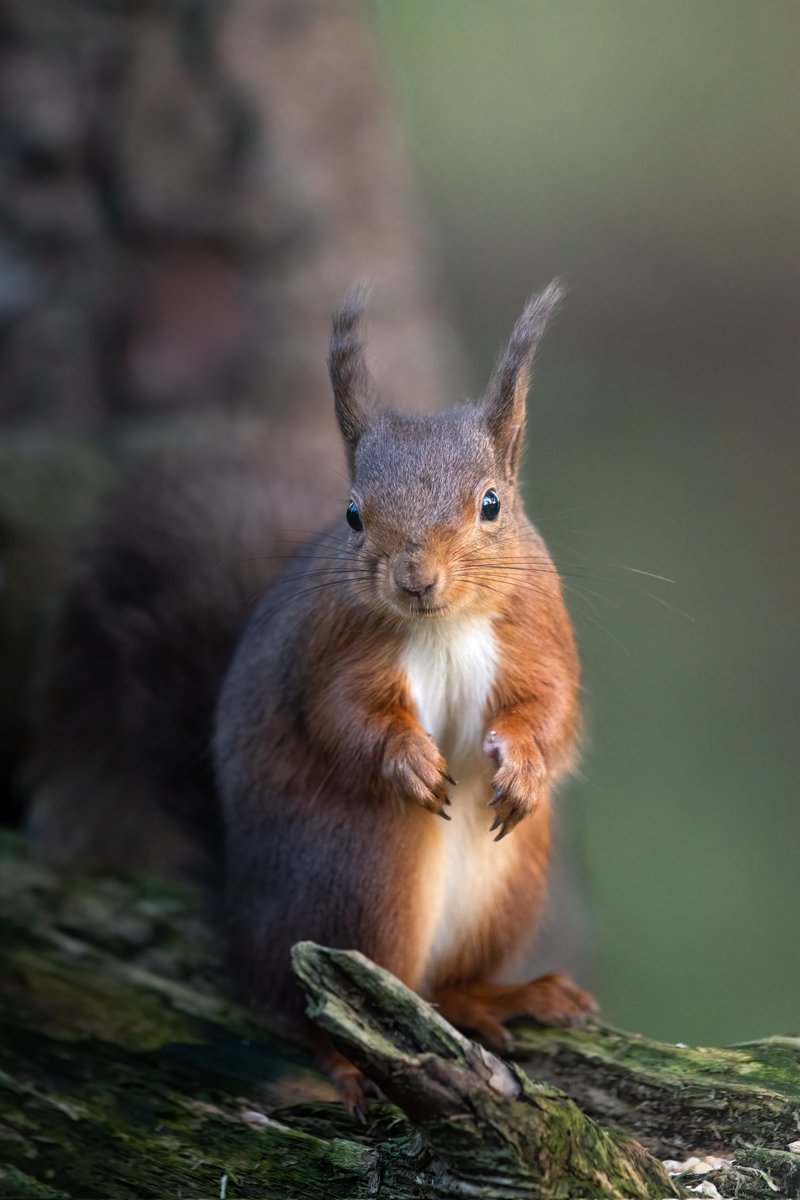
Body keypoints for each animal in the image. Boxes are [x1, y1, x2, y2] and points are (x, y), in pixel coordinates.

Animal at [28, 280, 597, 1104]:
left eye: (492, 504)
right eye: (354, 513)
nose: (416, 579)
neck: (443, 625)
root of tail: (239, 918)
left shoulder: (538, 630)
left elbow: (552, 708)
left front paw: (522, 767)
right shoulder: (333, 651)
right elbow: (340, 718)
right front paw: (409, 762)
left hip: (507, 884)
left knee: (442, 986)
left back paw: (501, 996)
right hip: (355, 877)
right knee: (311, 1007)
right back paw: (346, 1059)